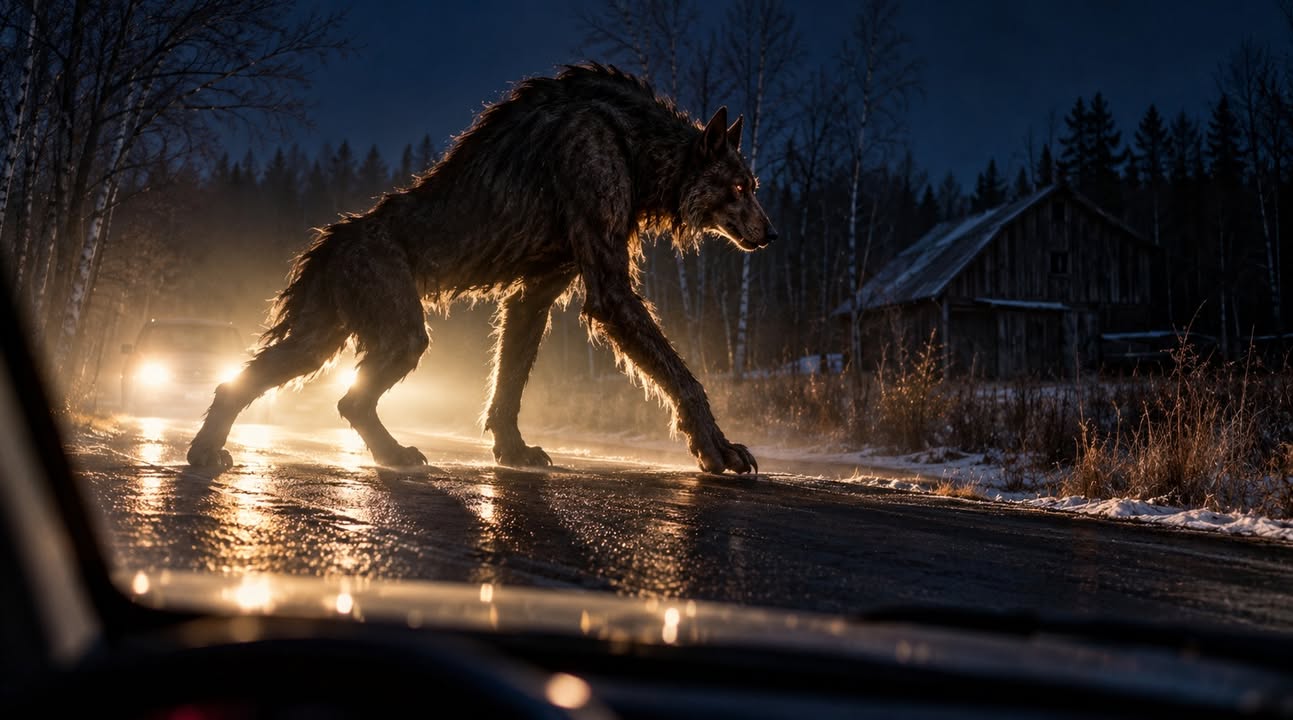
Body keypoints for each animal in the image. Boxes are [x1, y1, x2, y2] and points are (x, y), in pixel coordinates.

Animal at [186, 63, 777, 474]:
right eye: (738, 187)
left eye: (754, 187)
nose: (771, 235)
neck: (632, 141)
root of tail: (330, 243)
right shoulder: (608, 289)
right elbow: (684, 378)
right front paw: (718, 449)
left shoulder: (535, 293)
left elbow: (508, 384)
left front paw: (512, 451)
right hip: (400, 335)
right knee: (348, 399)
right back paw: (392, 455)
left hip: (320, 339)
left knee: (243, 382)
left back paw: (206, 451)